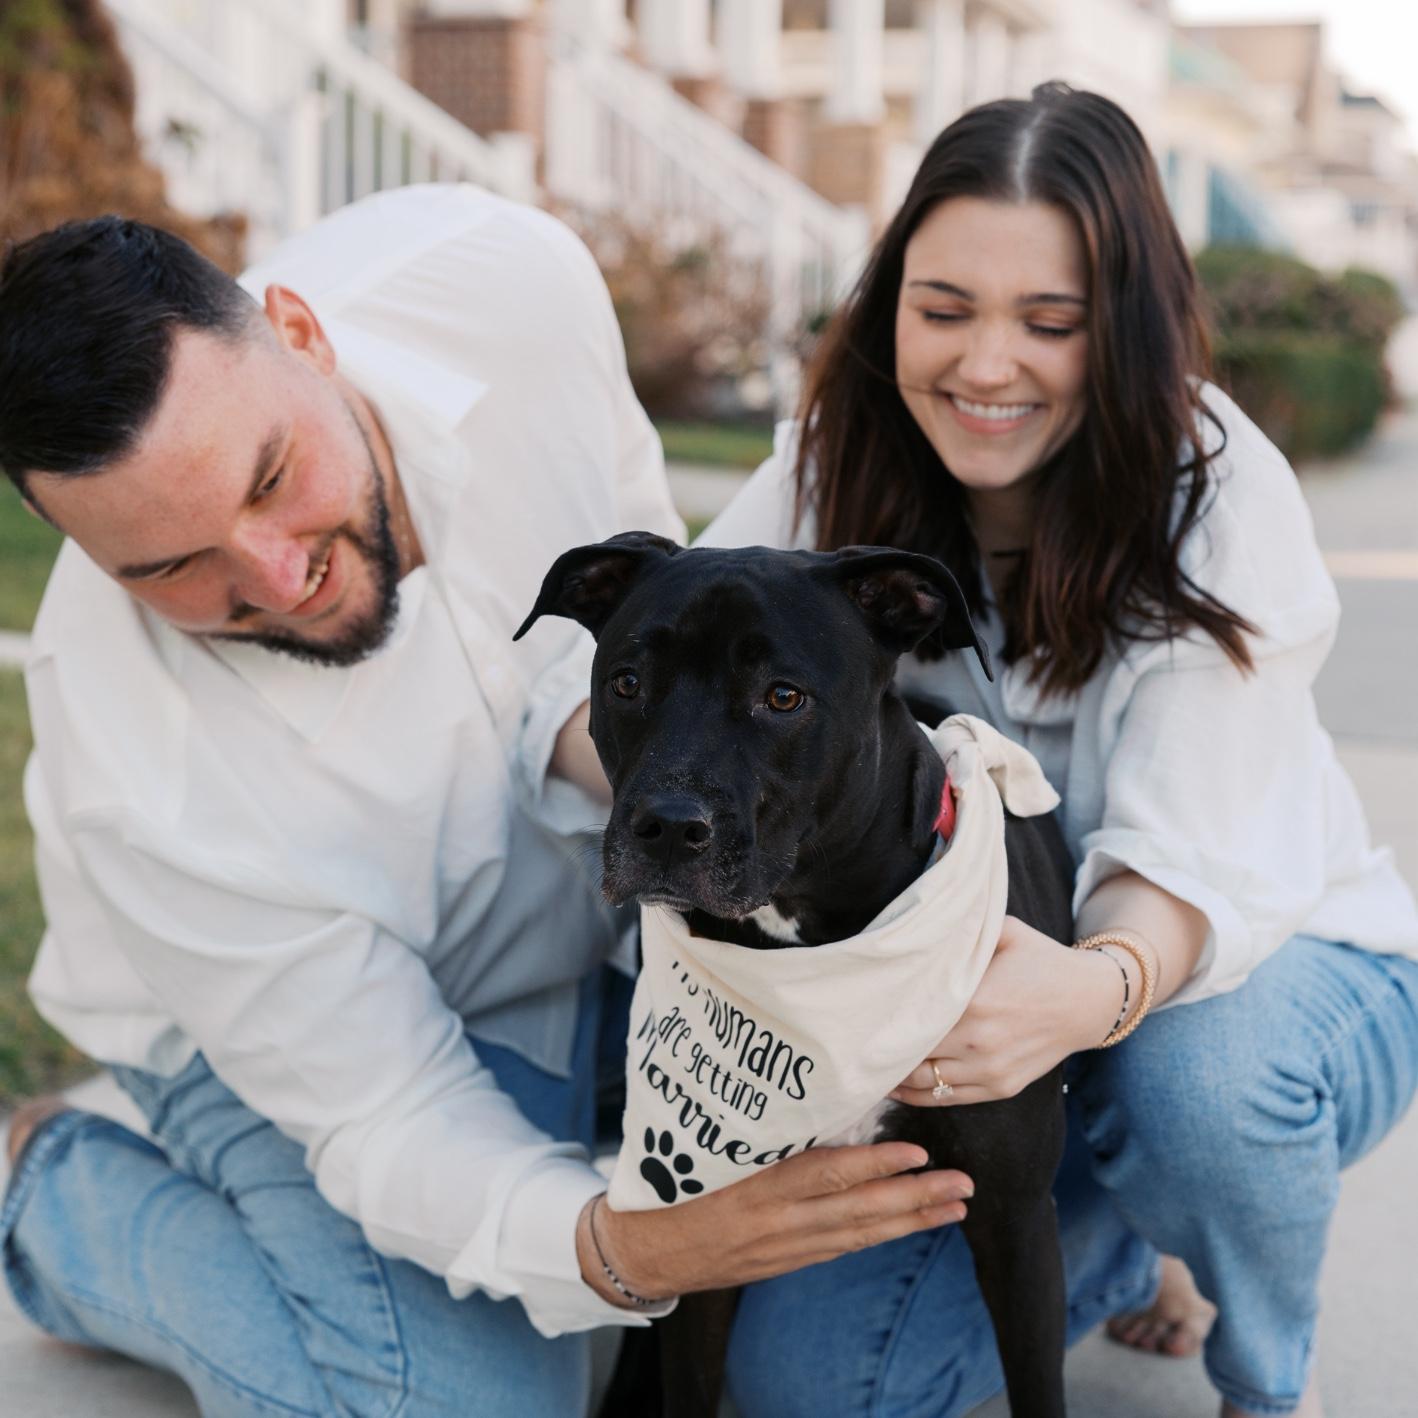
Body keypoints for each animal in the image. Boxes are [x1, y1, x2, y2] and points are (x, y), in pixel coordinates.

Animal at [517, 532, 1076, 1418]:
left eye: (783, 697)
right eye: (628, 683)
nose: (666, 826)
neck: (811, 952)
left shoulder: (1016, 1221)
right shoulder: (712, 1233)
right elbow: (687, 1374)